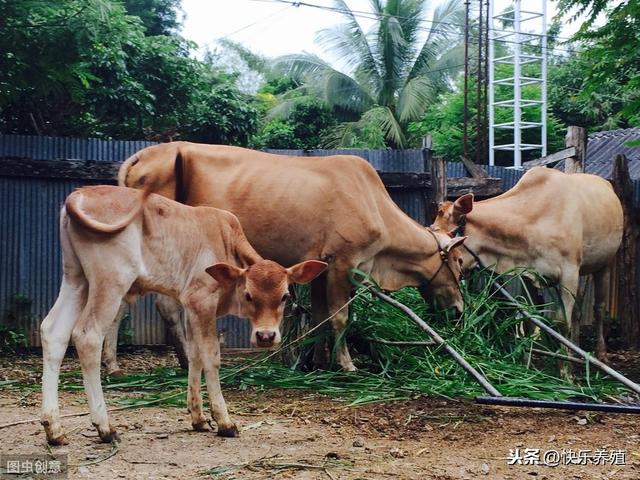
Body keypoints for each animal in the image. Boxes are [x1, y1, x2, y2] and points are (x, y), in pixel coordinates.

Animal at [42, 186, 328, 444]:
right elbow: (211, 357)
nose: (266, 336)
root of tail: (80, 193)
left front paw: (198, 417)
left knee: (52, 332)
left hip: (76, 279)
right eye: (248, 295)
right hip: (111, 282)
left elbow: (194, 355)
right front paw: (224, 421)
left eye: (285, 296)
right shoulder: (202, 302)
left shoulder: (190, 308)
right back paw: (104, 427)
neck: (227, 243)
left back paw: (54, 429)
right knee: (88, 336)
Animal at [115, 142, 464, 372]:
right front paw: (347, 365)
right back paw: (188, 360)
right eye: (460, 263)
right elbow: (340, 317)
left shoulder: (321, 266)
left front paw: (318, 362)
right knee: (166, 305)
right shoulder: (343, 262)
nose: (460, 310)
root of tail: (142, 155)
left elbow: (321, 317)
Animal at [430, 167, 620, 358]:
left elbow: (562, 322)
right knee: (579, 309)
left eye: (448, 238)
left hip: (605, 263)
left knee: (599, 308)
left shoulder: (569, 273)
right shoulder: (527, 273)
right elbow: (529, 320)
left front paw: (565, 365)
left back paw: (600, 353)